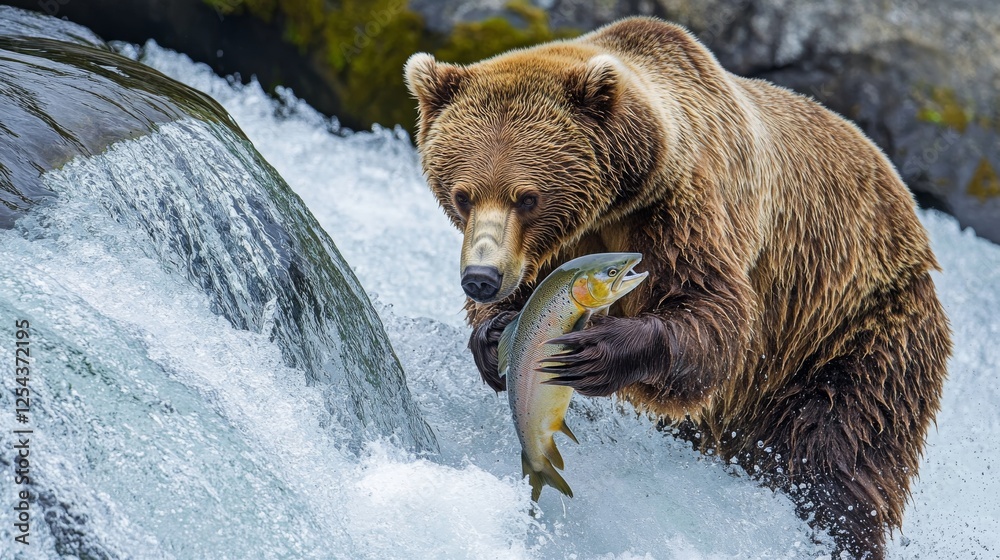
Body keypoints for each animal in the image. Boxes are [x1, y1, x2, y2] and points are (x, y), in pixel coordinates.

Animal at [404, 17, 951, 559]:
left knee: (838, 453)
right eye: (462, 194)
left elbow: (712, 312)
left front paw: (598, 352)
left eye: (527, 197)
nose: (482, 278)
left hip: (852, 331)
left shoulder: (685, 210)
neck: (615, 202)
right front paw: (494, 335)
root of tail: (910, 214)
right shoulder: (558, 249)